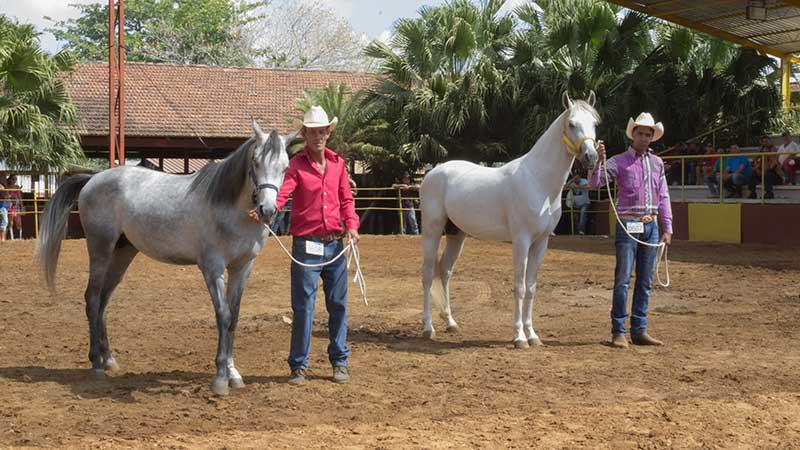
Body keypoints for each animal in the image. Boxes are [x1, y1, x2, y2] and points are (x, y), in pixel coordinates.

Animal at [37, 122, 292, 394]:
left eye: (285, 167)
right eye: (255, 161)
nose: (267, 210)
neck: (230, 208)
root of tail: (93, 178)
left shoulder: (242, 268)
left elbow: (233, 316)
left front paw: (234, 373)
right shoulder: (212, 267)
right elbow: (222, 315)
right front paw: (221, 378)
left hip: (123, 252)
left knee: (104, 301)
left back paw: (109, 359)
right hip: (100, 248)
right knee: (93, 299)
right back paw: (96, 364)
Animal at [422, 90, 596, 344]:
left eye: (594, 123)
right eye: (572, 124)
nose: (591, 156)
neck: (537, 180)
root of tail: (432, 173)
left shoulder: (541, 242)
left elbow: (531, 288)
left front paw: (533, 335)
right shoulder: (521, 241)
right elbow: (520, 287)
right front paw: (519, 337)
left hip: (457, 235)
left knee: (444, 272)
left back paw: (451, 323)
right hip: (432, 230)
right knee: (427, 275)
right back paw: (428, 327)